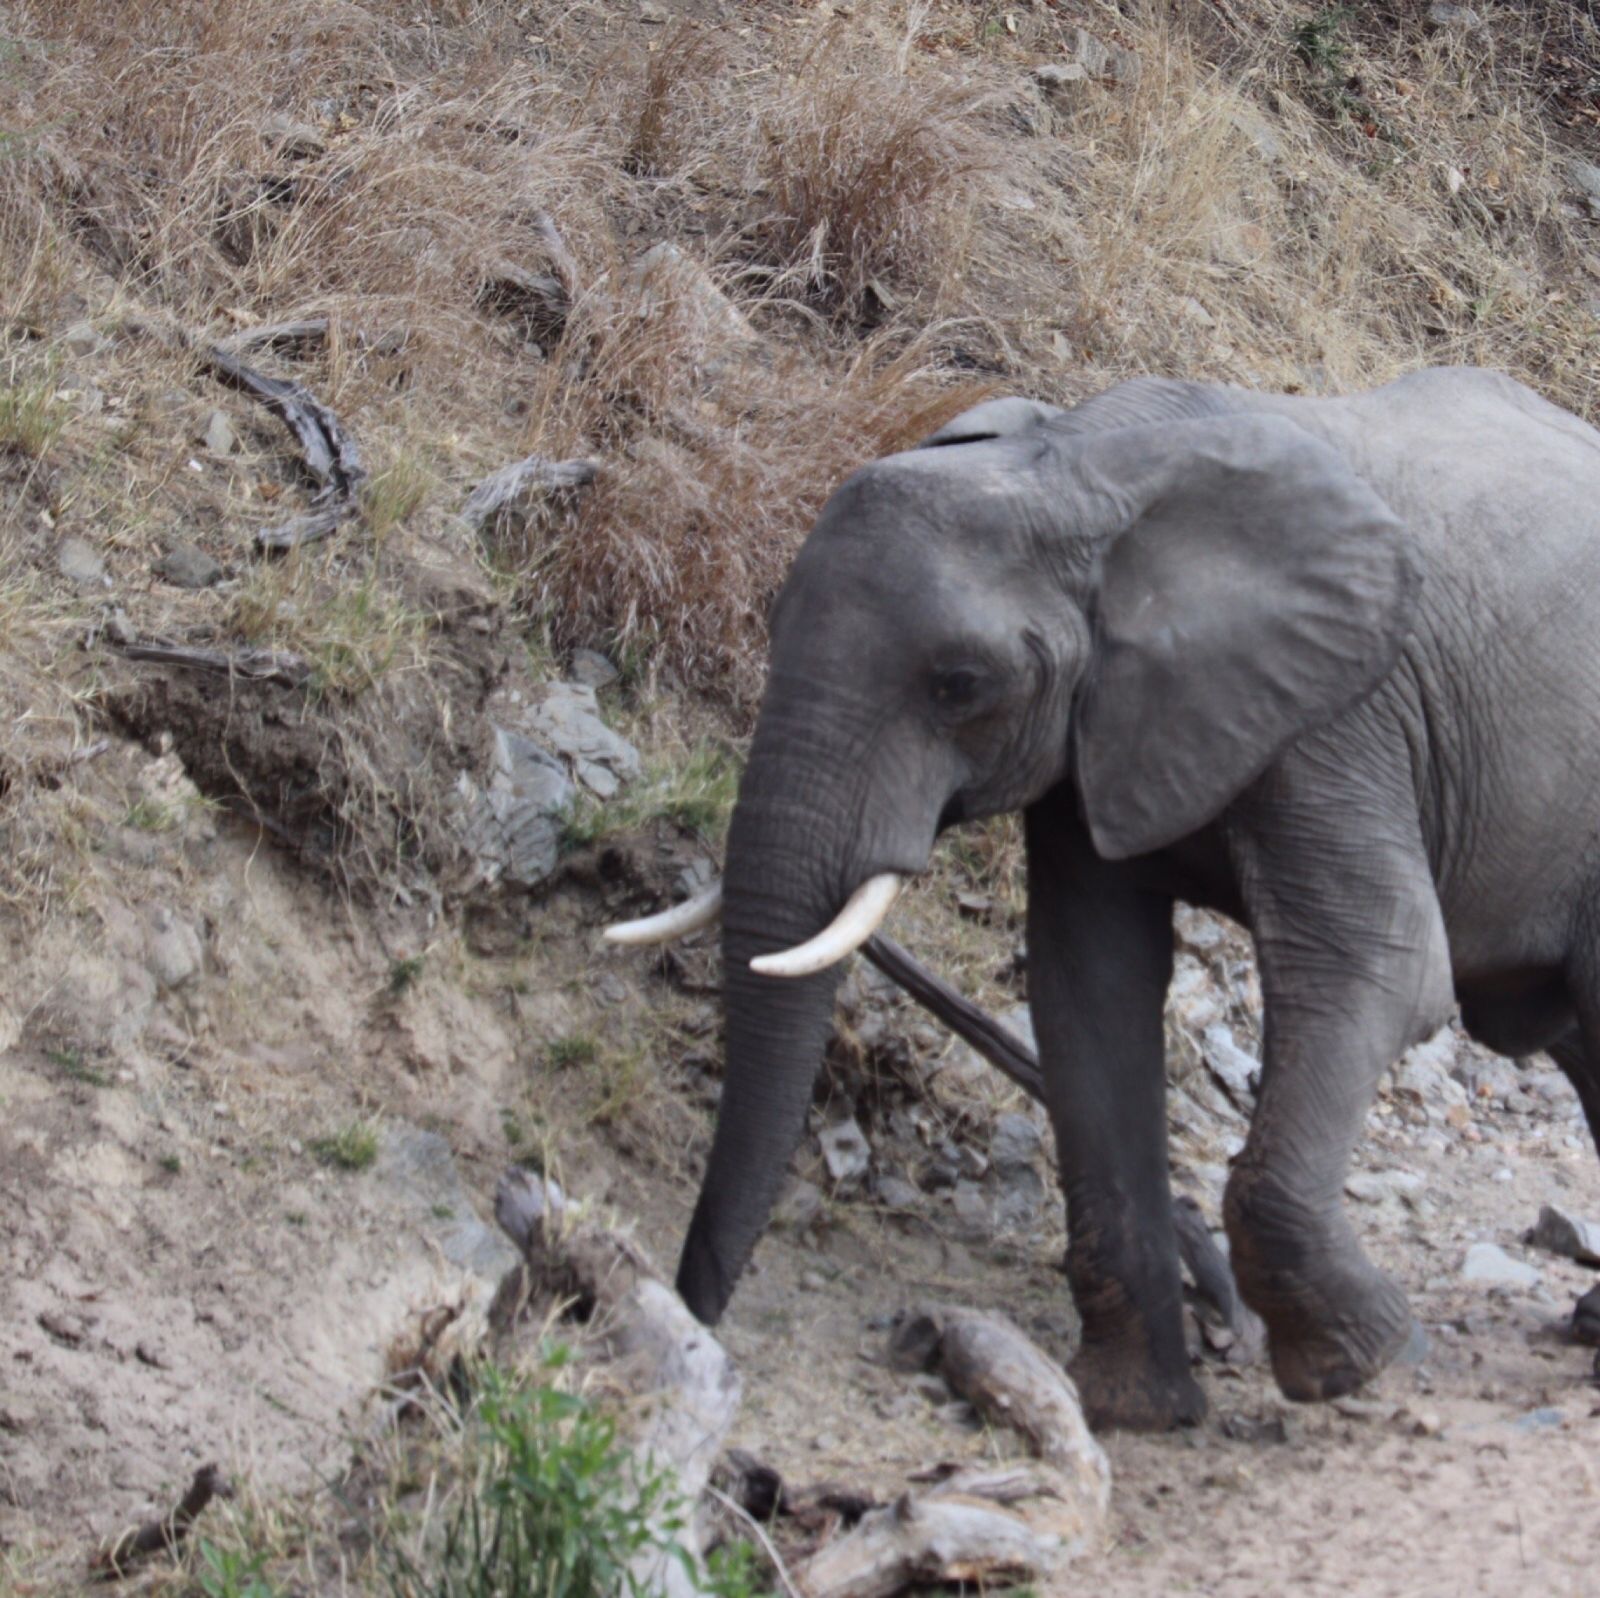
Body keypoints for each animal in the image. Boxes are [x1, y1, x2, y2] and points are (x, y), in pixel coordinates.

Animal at [605, 366, 1600, 1431]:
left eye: (960, 684)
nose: (697, 1313)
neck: (1080, 467)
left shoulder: (1344, 714)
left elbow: (1379, 967)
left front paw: (1358, 1360)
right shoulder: (1098, 732)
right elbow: (1088, 990)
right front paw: (1135, 1408)